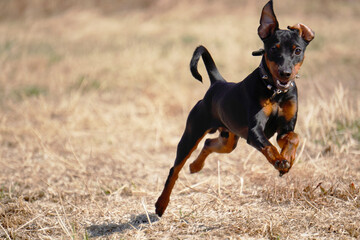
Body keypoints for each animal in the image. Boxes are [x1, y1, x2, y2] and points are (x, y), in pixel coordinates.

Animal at [155, 0, 316, 217]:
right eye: (274, 49)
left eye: (297, 50)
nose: (285, 73)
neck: (275, 92)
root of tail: (217, 83)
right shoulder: (254, 132)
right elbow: (269, 146)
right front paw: (279, 161)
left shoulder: (285, 129)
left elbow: (293, 137)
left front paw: (287, 159)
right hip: (191, 134)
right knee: (175, 169)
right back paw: (161, 204)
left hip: (228, 140)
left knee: (209, 144)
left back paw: (196, 166)